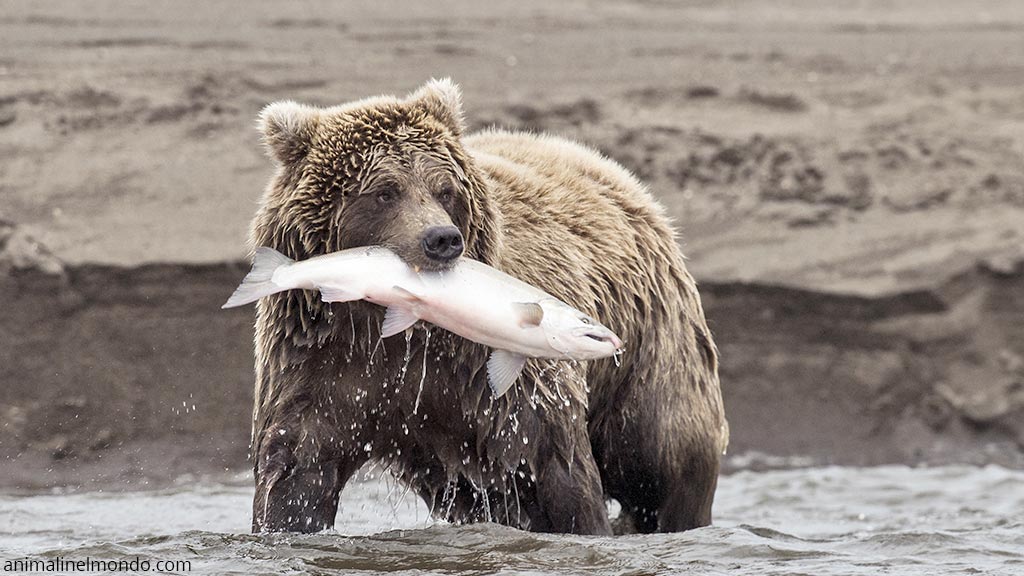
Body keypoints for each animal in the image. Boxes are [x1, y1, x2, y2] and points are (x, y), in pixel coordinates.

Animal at [246, 79, 728, 535]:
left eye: (444, 189)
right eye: (384, 191)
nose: (441, 239)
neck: (394, 322)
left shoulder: (493, 378)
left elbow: (553, 467)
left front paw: (585, 526)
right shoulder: (325, 360)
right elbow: (298, 467)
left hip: (650, 347)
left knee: (664, 456)